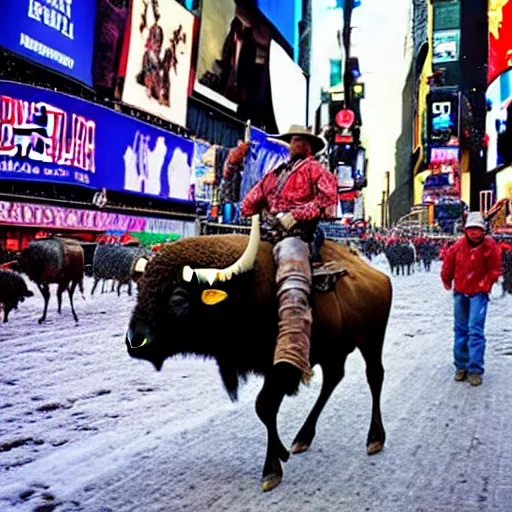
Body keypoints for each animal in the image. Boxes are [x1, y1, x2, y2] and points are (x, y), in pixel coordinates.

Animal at [126, 215, 394, 492]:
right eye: (140, 289)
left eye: (178, 299)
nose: (135, 341)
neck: (240, 290)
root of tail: (375, 274)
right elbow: (266, 408)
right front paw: (282, 455)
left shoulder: (279, 368)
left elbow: (263, 406)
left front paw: (272, 470)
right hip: (335, 350)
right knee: (333, 379)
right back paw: (302, 438)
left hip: (371, 340)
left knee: (374, 376)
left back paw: (374, 439)